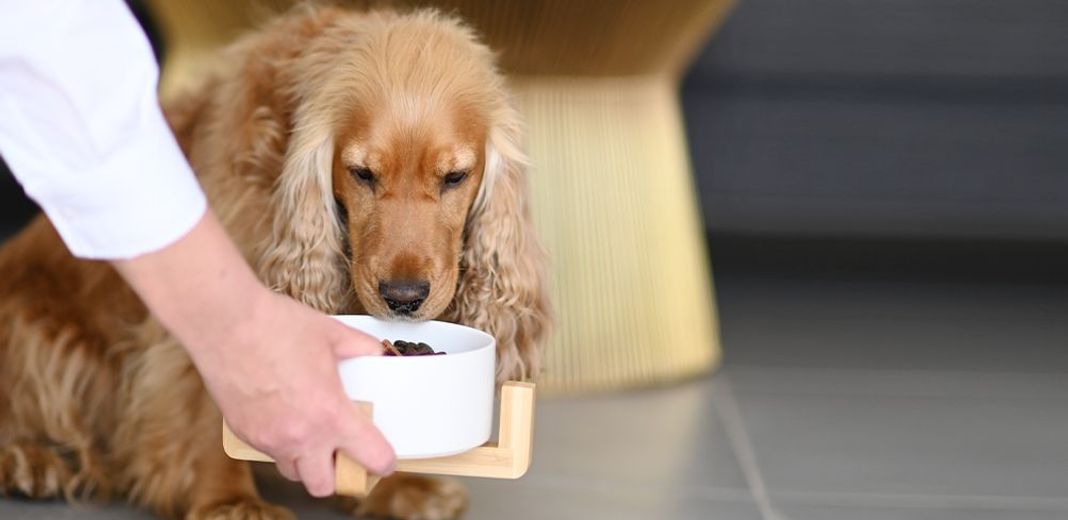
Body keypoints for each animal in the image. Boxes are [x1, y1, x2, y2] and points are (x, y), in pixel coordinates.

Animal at [0, 5, 551, 520]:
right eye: (362, 173)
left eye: (455, 177)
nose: (403, 298)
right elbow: (207, 395)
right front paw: (229, 500)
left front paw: (398, 489)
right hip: (35, 333)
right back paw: (31, 462)